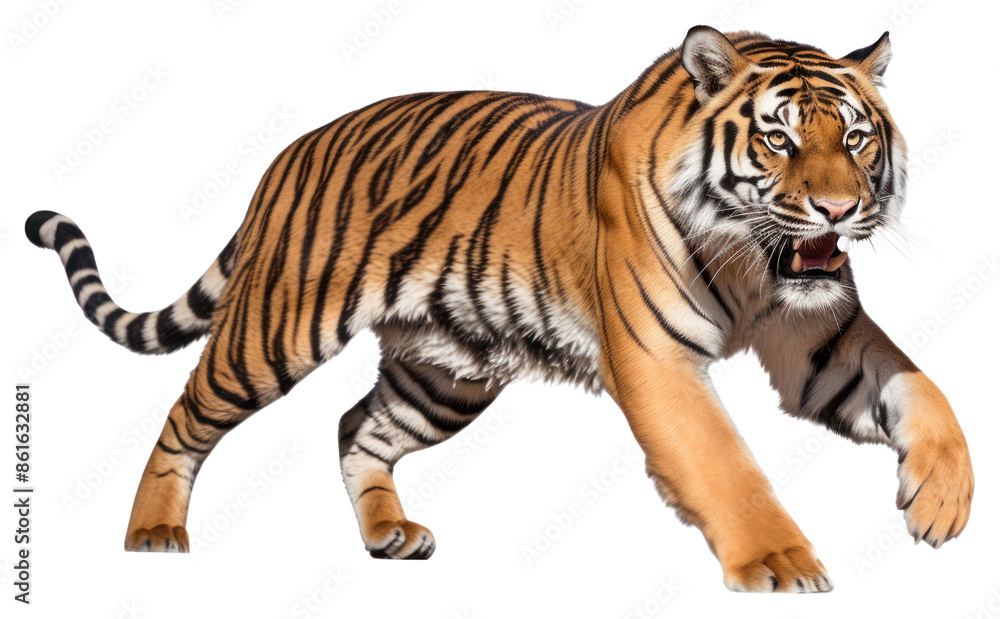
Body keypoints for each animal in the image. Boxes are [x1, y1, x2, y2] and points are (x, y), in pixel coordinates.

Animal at [24, 26, 973, 592]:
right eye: (778, 139)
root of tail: (290, 152)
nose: (839, 210)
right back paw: (152, 534)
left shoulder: (817, 336)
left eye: (856, 137)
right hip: (276, 329)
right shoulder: (657, 360)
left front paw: (942, 501)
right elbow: (725, 466)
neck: (755, 264)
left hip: (446, 373)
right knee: (184, 415)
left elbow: (923, 391)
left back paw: (389, 535)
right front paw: (778, 564)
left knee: (357, 426)